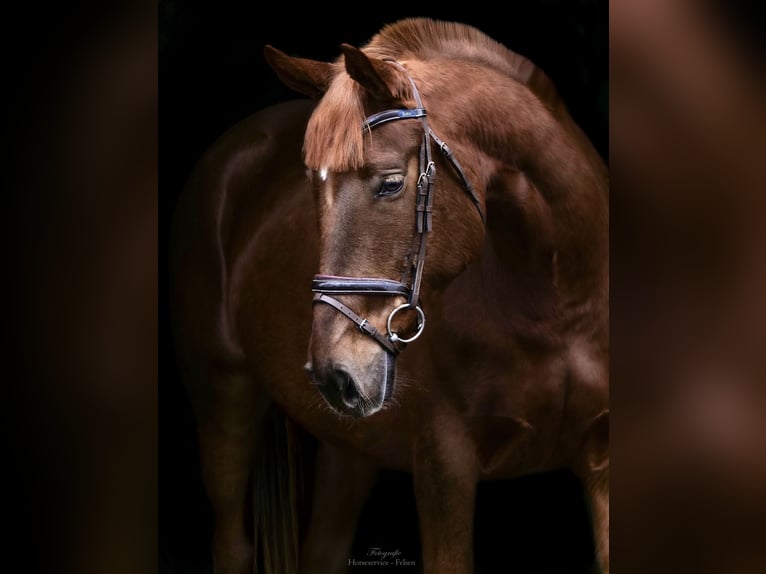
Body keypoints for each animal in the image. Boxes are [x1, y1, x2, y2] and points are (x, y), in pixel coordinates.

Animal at [171, 18, 608, 574]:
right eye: (311, 186)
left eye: (392, 184)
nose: (334, 372)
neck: (558, 307)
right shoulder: (445, 466)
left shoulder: (601, 465)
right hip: (223, 399)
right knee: (231, 542)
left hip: (350, 446)